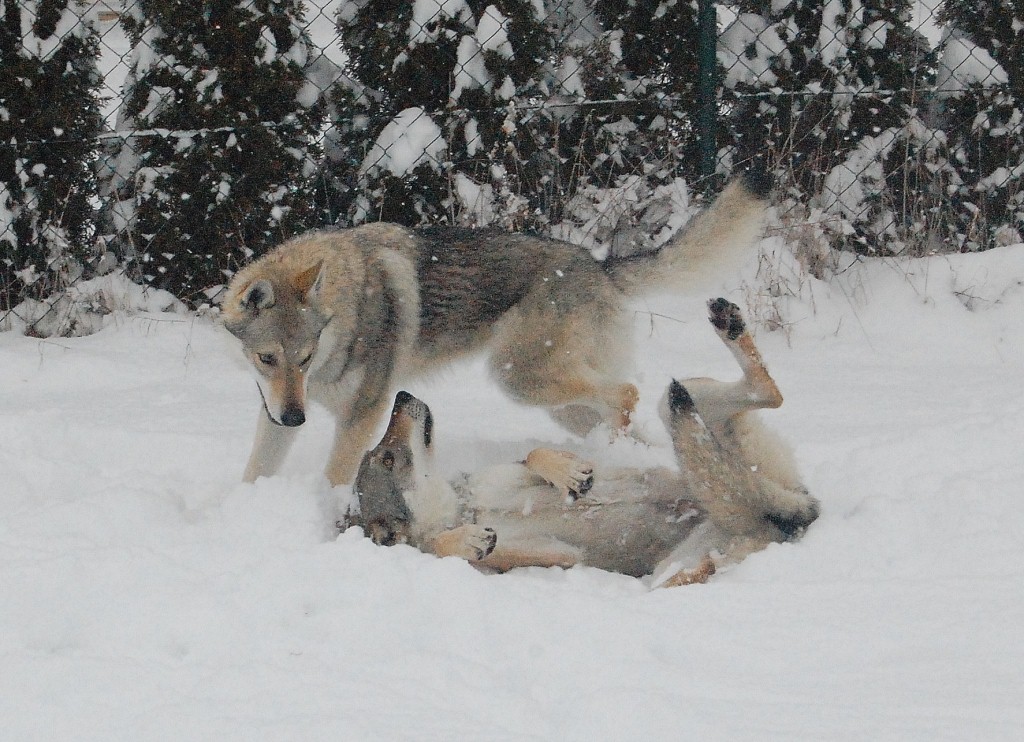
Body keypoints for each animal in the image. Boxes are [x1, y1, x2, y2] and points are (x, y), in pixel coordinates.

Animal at [222, 170, 770, 489]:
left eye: (306, 355)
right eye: (268, 359)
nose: (296, 418)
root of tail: (598, 266)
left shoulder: (360, 417)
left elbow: (335, 477)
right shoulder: (273, 411)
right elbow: (252, 473)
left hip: (519, 380)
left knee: (627, 393)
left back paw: (604, 455)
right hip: (559, 405)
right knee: (632, 410)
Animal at [348, 298, 819, 585]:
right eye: (386, 459)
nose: (400, 395)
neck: (465, 506)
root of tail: (792, 513)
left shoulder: (513, 476)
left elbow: (536, 454)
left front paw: (571, 474)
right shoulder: (557, 558)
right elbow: (440, 546)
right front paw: (467, 540)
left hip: (681, 402)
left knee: (768, 392)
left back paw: (729, 323)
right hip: (683, 543)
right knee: (693, 570)